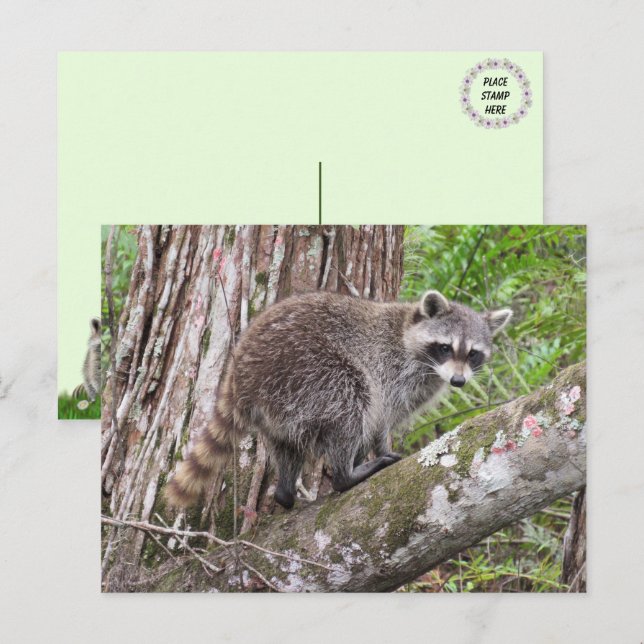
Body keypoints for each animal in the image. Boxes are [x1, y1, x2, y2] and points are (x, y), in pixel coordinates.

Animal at [165, 290, 511, 510]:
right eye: (445, 347)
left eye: (473, 354)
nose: (458, 381)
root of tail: (241, 372)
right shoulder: (390, 369)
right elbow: (379, 418)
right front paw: (379, 449)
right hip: (306, 370)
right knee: (351, 402)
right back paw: (347, 474)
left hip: (277, 405)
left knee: (286, 446)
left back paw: (286, 492)